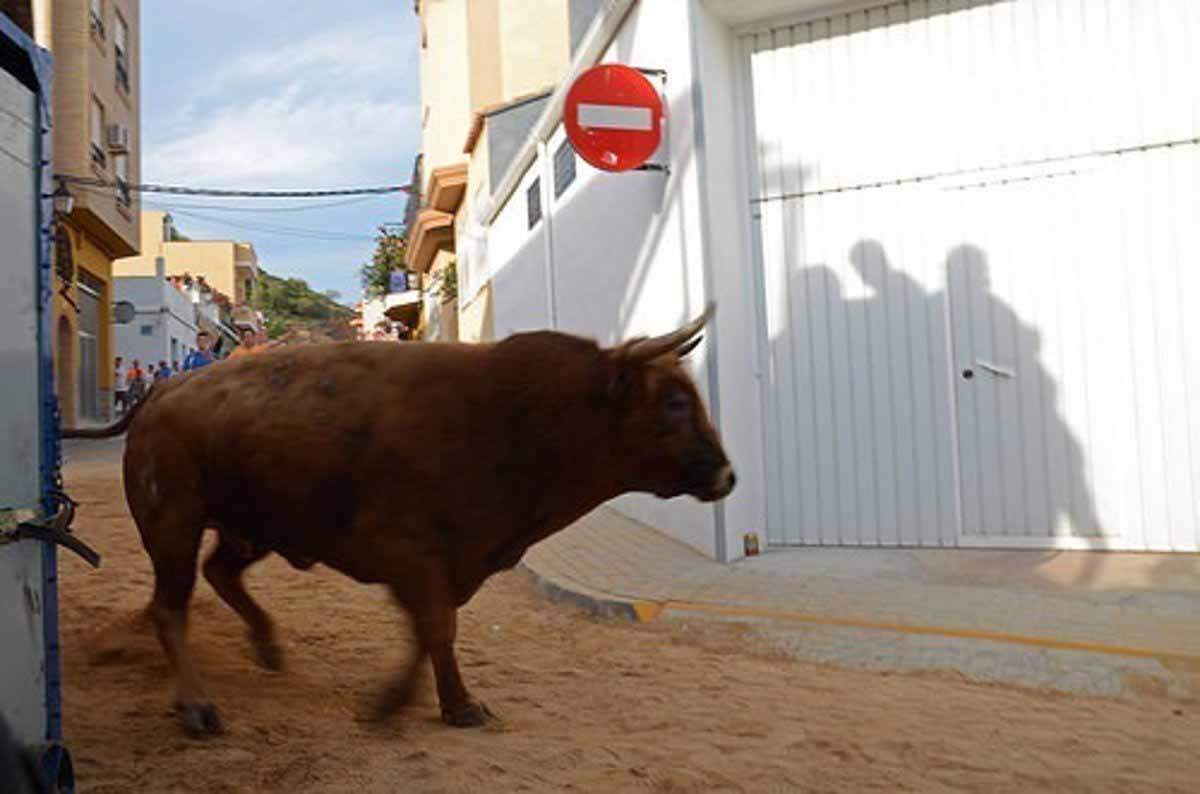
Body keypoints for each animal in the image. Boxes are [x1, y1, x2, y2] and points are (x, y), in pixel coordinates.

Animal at [70, 305, 734, 738]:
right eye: (675, 401)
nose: (727, 475)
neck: (518, 415)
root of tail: (162, 393)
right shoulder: (409, 554)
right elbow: (436, 627)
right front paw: (416, 704)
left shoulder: (442, 563)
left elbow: (431, 631)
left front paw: (435, 702)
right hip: (174, 525)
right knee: (171, 607)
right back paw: (196, 708)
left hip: (250, 523)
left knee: (221, 574)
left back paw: (268, 648)